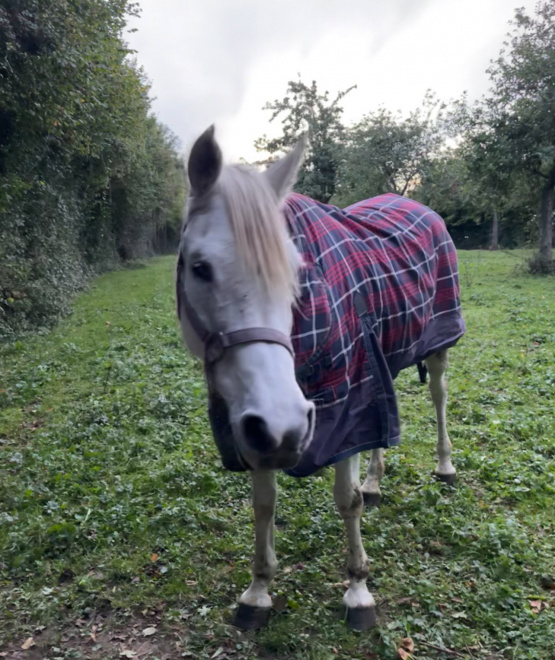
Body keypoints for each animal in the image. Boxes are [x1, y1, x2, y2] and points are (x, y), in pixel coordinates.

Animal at [176, 125, 466, 628]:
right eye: (199, 268)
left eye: (294, 272)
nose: (285, 424)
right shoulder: (256, 425)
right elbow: (264, 504)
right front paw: (258, 591)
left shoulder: (348, 403)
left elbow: (346, 500)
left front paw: (358, 591)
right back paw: (375, 481)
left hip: (437, 348)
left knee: (439, 396)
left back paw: (444, 466)